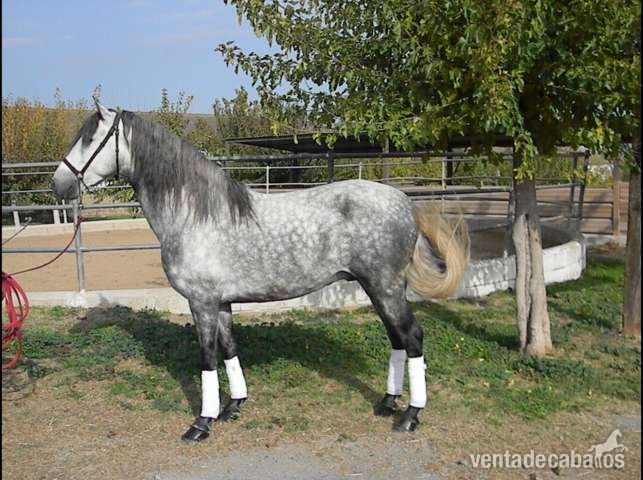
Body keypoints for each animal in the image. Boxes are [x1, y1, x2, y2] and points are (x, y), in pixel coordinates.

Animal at [52, 97, 470, 442]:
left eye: (89, 139)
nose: (58, 184)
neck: (195, 214)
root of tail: (405, 203)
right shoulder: (220, 303)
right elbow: (229, 349)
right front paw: (233, 406)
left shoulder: (201, 303)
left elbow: (206, 357)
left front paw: (201, 423)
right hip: (378, 288)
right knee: (397, 339)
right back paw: (386, 403)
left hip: (385, 286)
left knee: (412, 337)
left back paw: (410, 416)